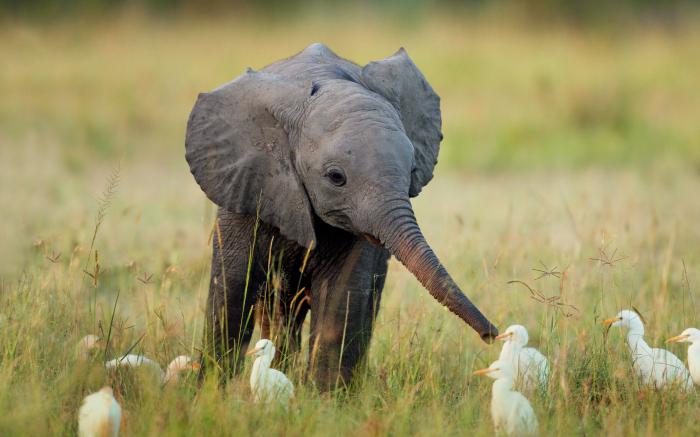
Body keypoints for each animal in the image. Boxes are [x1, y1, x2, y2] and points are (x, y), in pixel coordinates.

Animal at [183, 42, 494, 386]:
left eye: (412, 171)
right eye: (336, 177)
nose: (492, 334)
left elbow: (340, 297)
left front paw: (325, 397)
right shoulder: (247, 186)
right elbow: (233, 289)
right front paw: (211, 390)